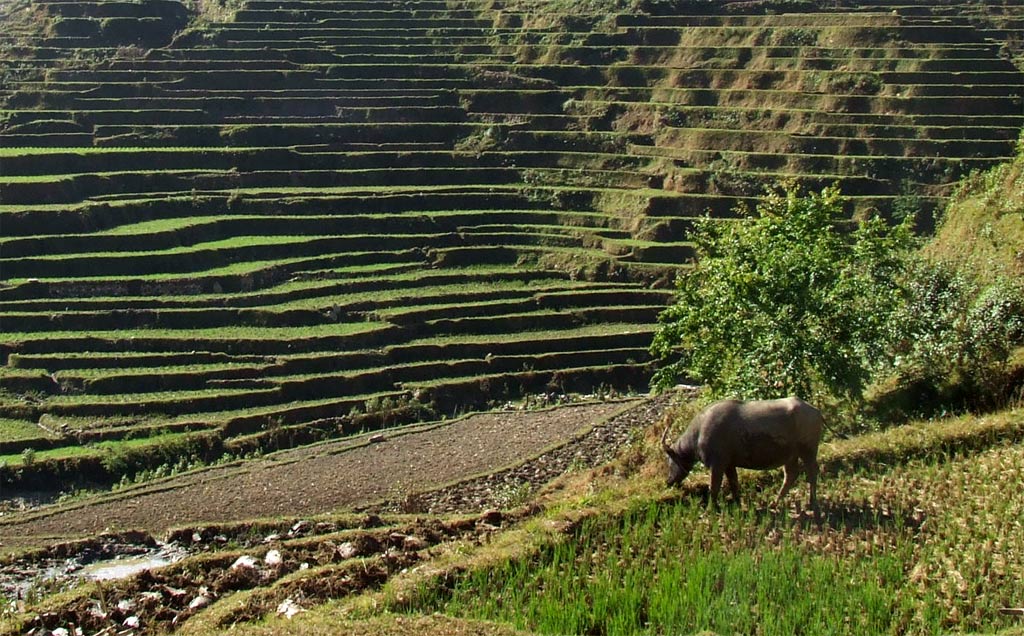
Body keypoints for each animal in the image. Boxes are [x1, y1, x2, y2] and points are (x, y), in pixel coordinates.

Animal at [663, 397, 823, 510]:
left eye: (670, 460)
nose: (668, 481)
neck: (699, 433)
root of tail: (816, 411)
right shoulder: (729, 465)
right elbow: (734, 484)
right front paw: (738, 504)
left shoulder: (717, 465)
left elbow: (714, 487)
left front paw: (710, 509)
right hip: (790, 456)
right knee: (791, 474)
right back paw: (774, 503)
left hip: (808, 450)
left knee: (812, 472)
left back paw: (812, 503)